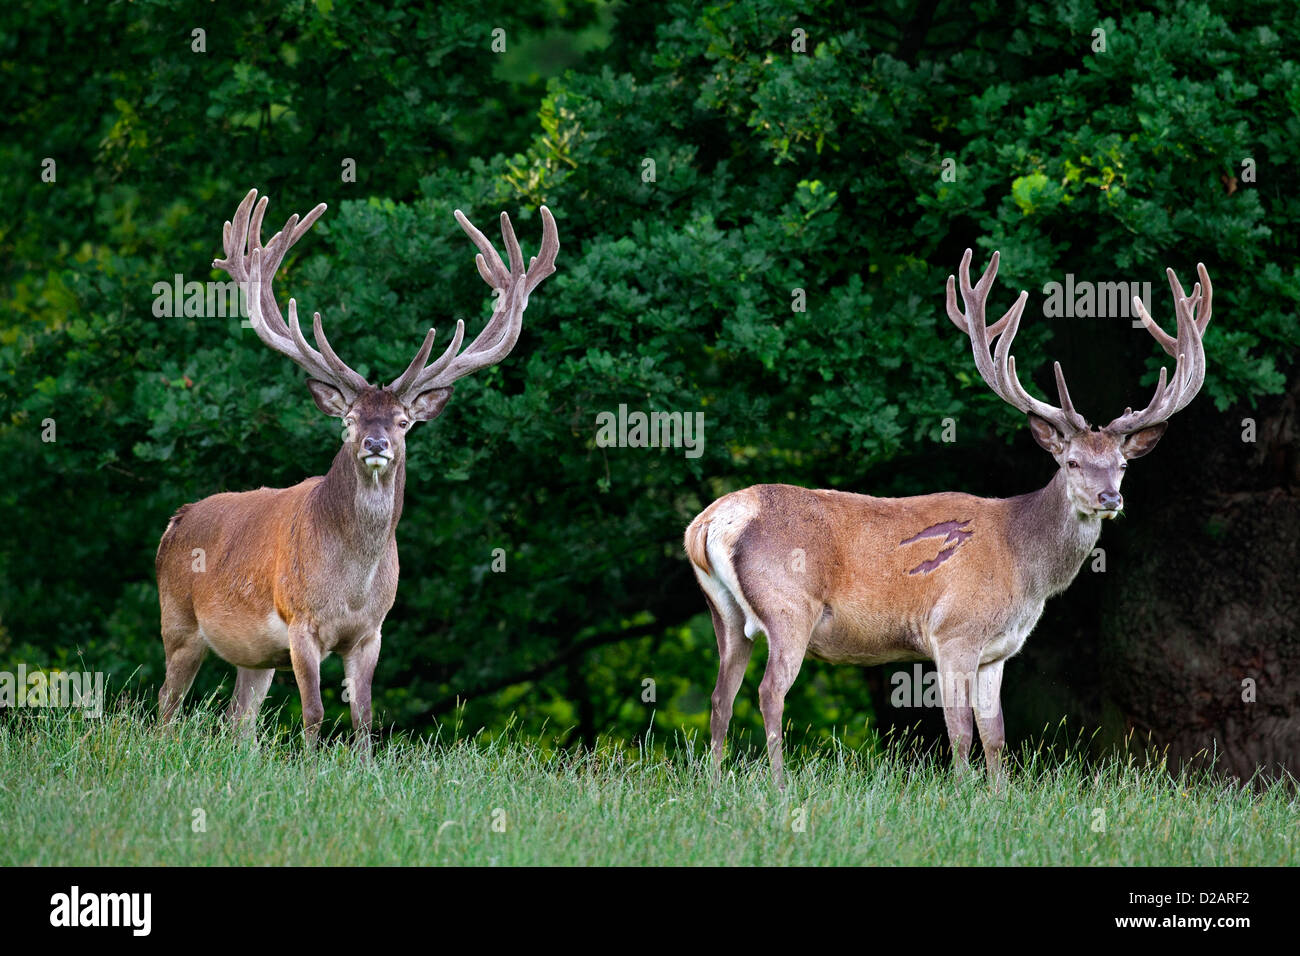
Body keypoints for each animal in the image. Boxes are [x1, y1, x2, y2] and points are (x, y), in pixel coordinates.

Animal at [153, 188, 559, 749]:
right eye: (348, 418)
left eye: (404, 421)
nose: (375, 443)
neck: (351, 587)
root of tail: (175, 521)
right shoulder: (300, 621)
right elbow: (314, 713)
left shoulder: (372, 631)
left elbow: (365, 718)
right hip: (178, 623)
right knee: (165, 708)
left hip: (253, 656)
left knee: (238, 720)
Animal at [686, 251, 1211, 790]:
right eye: (1071, 462)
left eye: (1122, 464)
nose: (1110, 497)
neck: (1023, 565)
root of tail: (707, 523)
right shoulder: (954, 630)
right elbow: (960, 730)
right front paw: (960, 793)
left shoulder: (997, 651)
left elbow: (995, 733)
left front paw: (1000, 796)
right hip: (789, 606)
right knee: (769, 692)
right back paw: (779, 784)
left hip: (724, 613)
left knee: (721, 697)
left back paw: (715, 783)